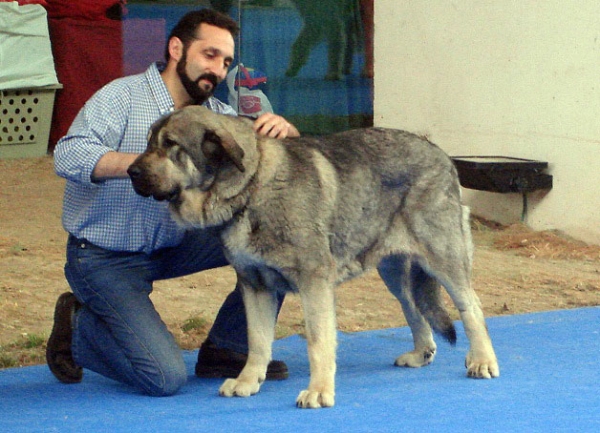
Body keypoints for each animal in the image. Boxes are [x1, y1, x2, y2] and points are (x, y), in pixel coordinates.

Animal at [129, 105, 500, 408]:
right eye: (149, 143)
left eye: (170, 145)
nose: (130, 171)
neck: (252, 187)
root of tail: (442, 154)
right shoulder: (255, 285)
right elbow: (257, 341)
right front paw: (248, 381)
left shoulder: (314, 282)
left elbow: (318, 342)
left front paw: (319, 391)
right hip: (394, 272)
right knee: (413, 308)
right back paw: (422, 354)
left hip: (442, 258)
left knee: (471, 306)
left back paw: (482, 360)